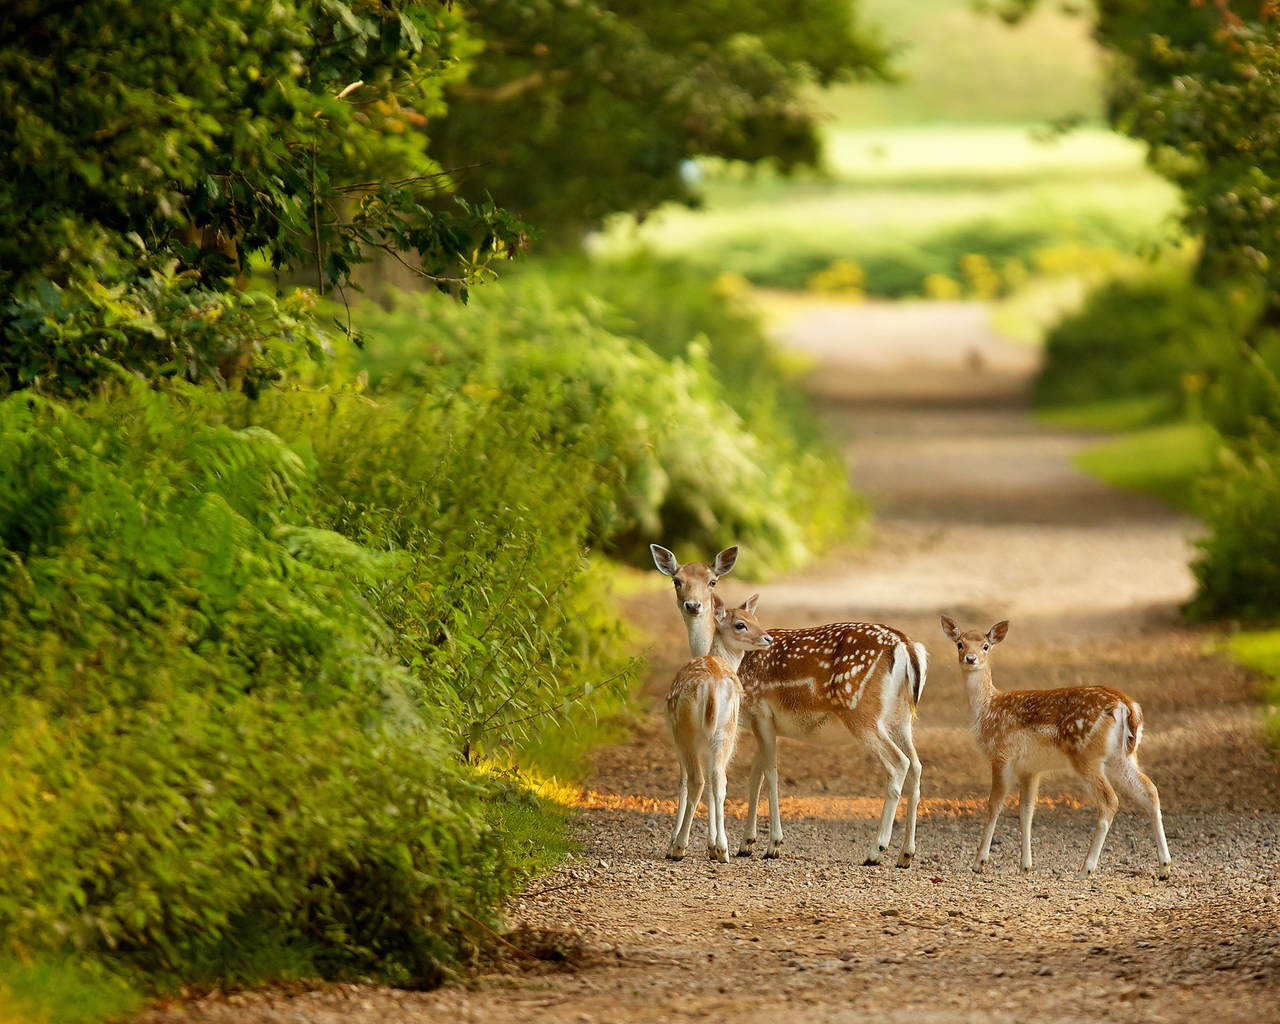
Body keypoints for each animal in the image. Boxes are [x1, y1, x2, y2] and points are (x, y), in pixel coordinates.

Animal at [665, 591, 773, 865]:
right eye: (741, 624)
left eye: (756, 618)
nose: (767, 638)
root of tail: (712, 687)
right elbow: (715, 785)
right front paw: (712, 846)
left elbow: (683, 783)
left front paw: (678, 842)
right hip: (726, 730)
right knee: (719, 780)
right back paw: (723, 849)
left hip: (686, 732)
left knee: (697, 780)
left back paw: (679, 847)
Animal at [942, 616, 1172, 880]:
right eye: (960, 644)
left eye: (986, 646)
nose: (971, 658)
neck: (987, 709)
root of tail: (1127, 706)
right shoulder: (1030, 768)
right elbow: (1026, 810)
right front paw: (1025, 866)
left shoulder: (1001, 755)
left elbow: (994, 805)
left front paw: (979, 862)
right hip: (1123, 757)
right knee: (1150, 791)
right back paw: (1164, 867)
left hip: (1084, 754)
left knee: (1109, 800)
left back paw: (1086, 868)